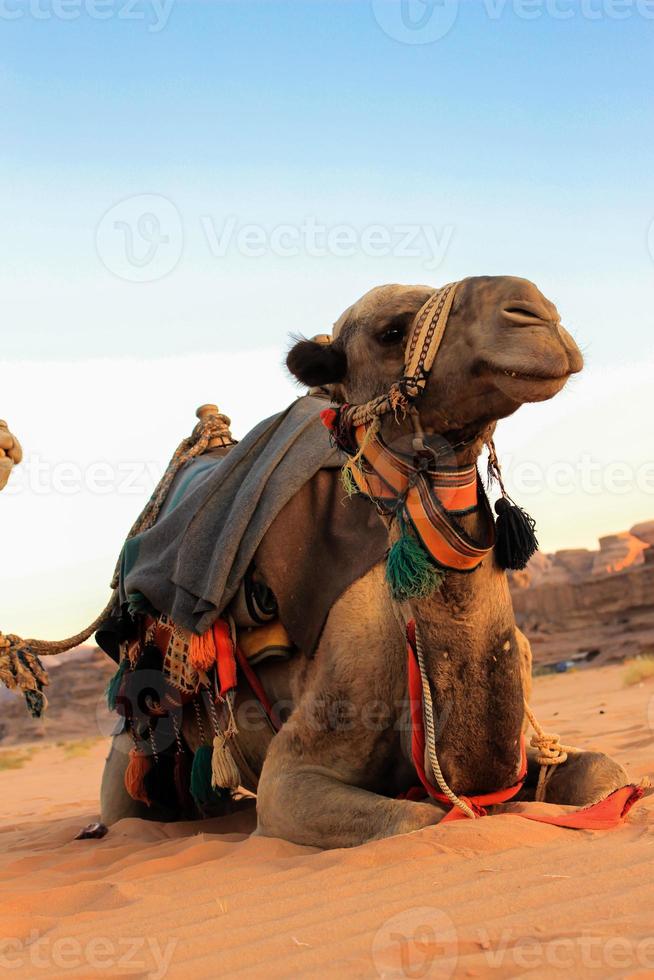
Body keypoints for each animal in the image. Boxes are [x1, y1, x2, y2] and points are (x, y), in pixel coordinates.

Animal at [101, 278, 632, 848]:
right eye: (391, 331)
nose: (537, 312)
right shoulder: (294, 771)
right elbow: (419, 819)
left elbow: (601, 771)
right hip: (133, 743)